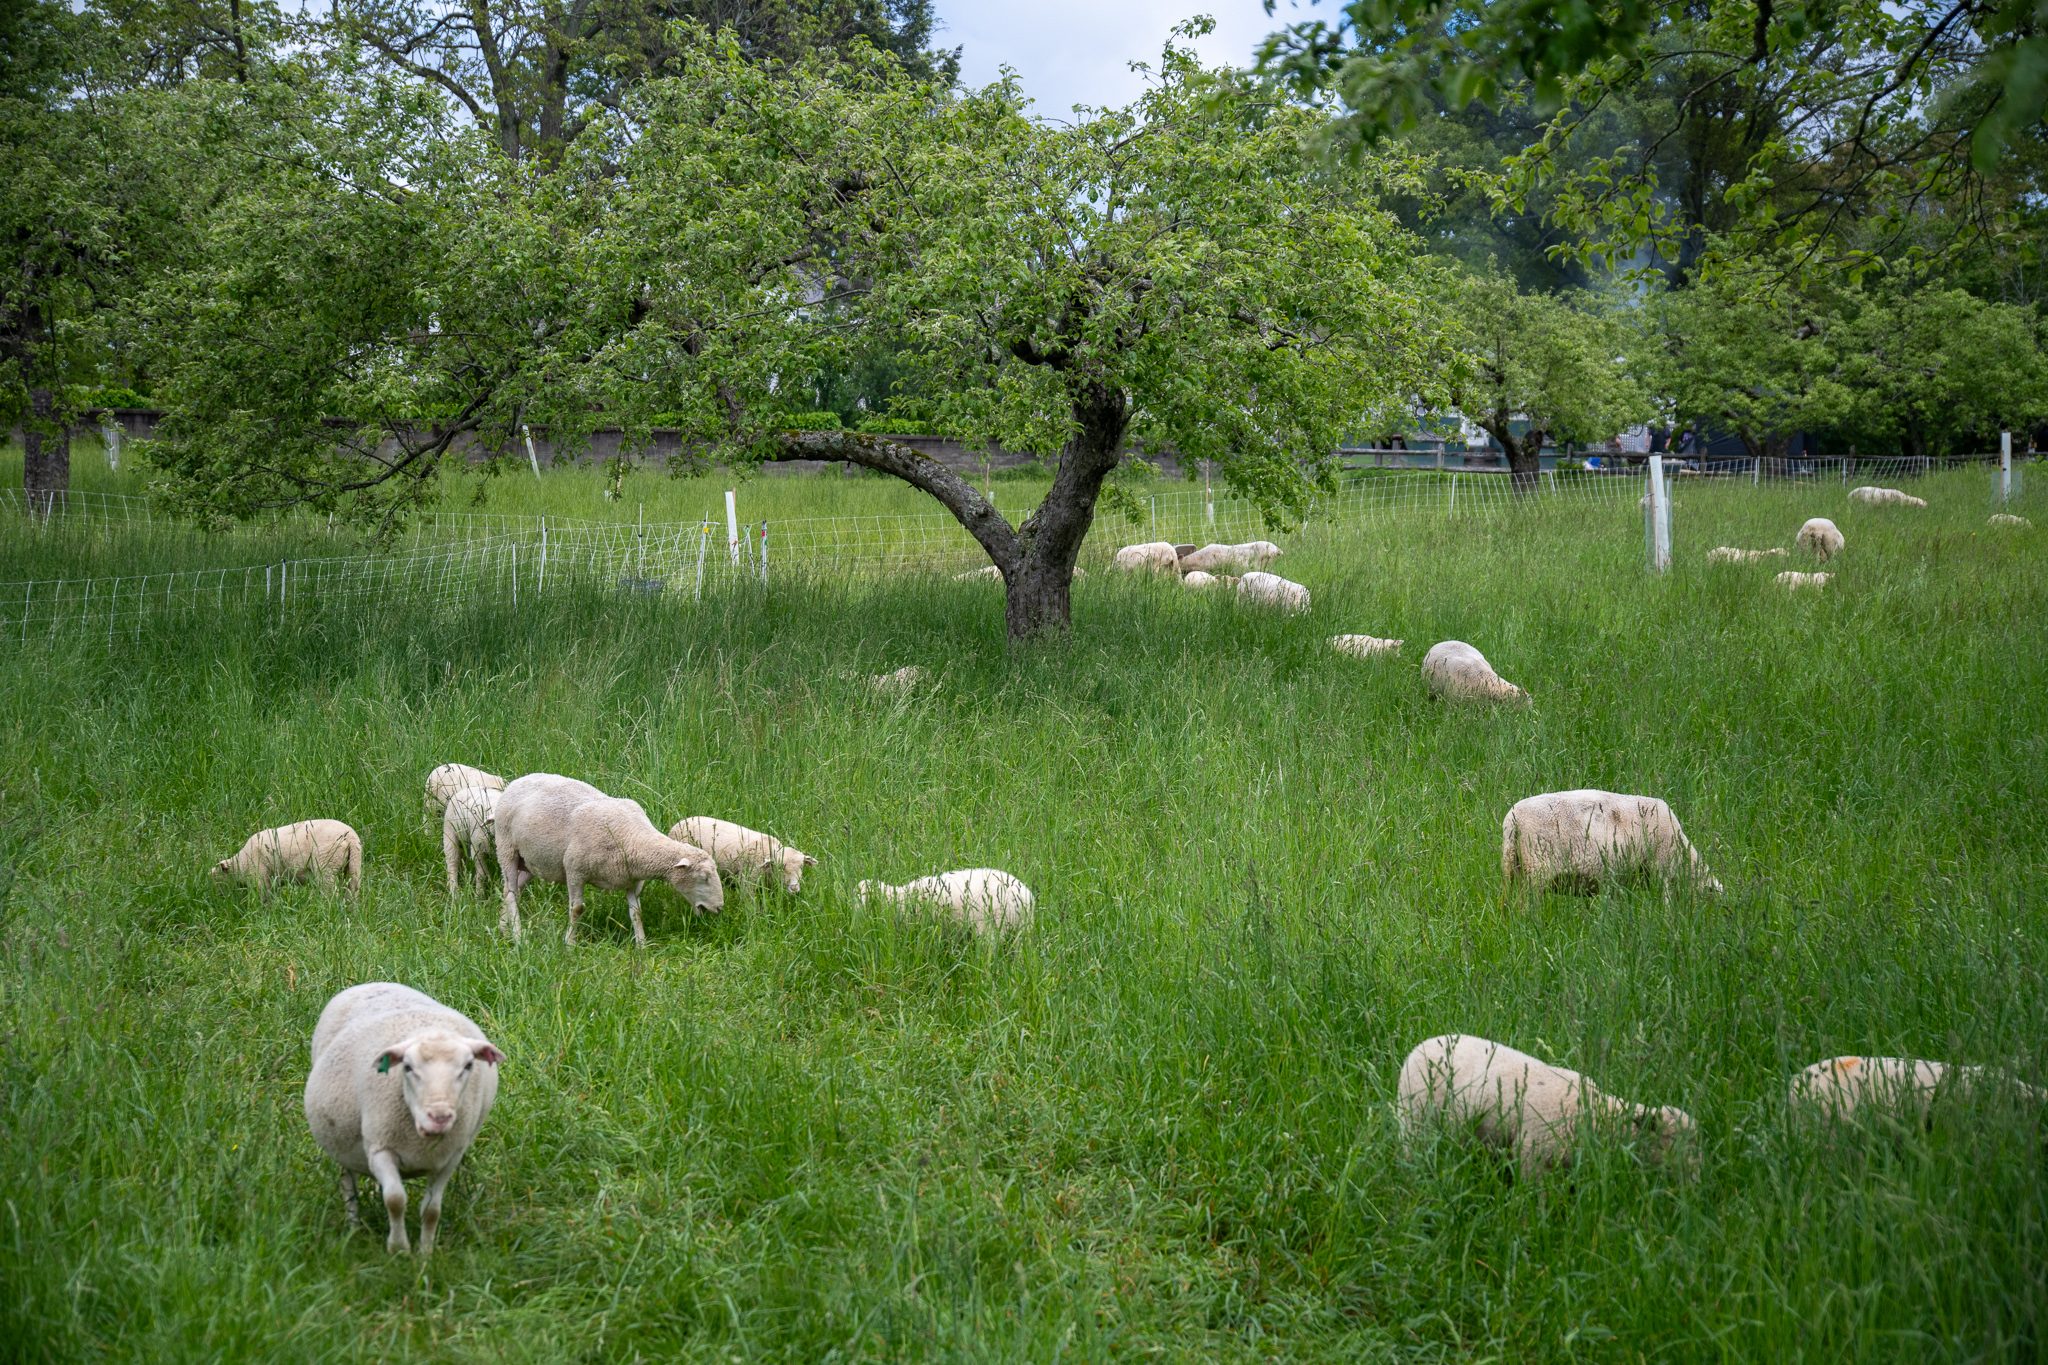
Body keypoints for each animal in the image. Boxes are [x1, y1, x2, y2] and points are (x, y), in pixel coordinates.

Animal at [212, 819, 362, 899]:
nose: (216, 897)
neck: (241, 863)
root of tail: (351, 837)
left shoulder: (259, 873)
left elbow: (264, 894)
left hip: (326, 863)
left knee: (330, 891)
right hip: (353, 864)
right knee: (353, 890)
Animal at [304, 982, 503, 1255]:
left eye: (468, 1066)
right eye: (407, 1067)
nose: (439, 1116)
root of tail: (375, 982)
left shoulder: (449, 1158)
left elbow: (431, 1210)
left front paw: (425, 1253)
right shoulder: (380, 1149)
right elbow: (395, 1200)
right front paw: (398, 1249)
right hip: (341, 1143)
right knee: (348, 1184)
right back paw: (353, 1228)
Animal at [493, 774, 722, 946]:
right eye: (703, 877)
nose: (720, 908)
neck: (633, 838)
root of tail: (518, 780)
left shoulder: (632, 880)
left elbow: (636, 913)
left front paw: (641, 945)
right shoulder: (574, 870)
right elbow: (577, 909)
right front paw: (569, 944)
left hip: (529, 861)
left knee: (509, 889)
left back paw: (503, 929)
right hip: (506, 848)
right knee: (512, 893)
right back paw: (518, 936)